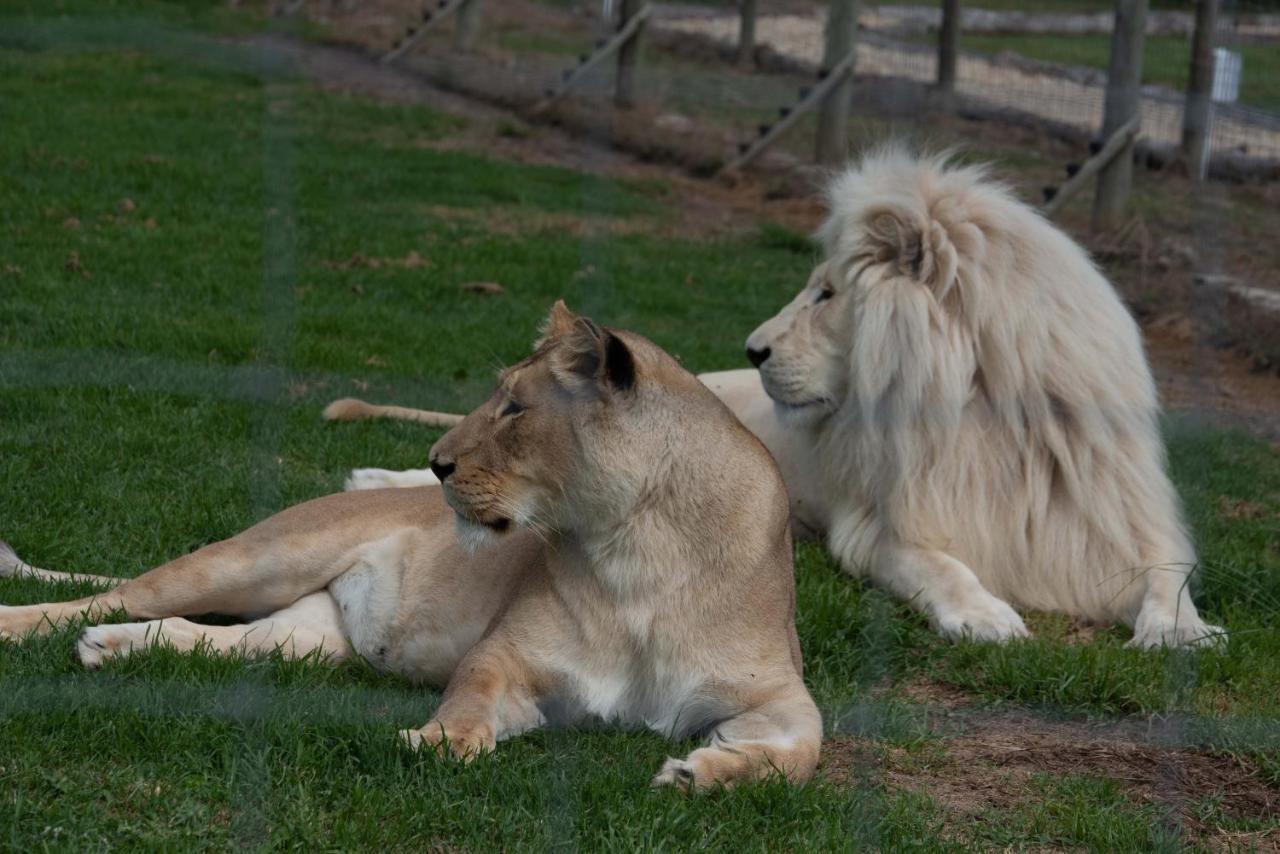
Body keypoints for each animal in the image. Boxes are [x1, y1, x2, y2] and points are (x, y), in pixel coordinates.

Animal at [325, 151, 1213, 647]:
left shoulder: (1112, 528)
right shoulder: (879, 528)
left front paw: (1181, 632)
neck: (986, 416)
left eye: (826, 294)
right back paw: (377, 478)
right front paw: (986, 615)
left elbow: (1166, 578)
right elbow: (944, 566)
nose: (754, 350)